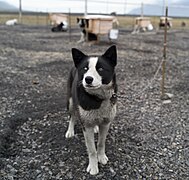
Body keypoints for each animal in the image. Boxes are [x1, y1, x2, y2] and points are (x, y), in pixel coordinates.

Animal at [65, 45, 117, 176]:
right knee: (72, 116)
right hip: (71, 102)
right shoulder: (86, 127)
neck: (98, 98)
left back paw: (95, 128)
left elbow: (101, 143)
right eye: (85, 68)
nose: (88, 79)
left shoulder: (106, 122)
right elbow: (92, 149)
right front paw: (93, 167)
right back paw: (70, 131)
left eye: (100, 69)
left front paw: (101, 157)